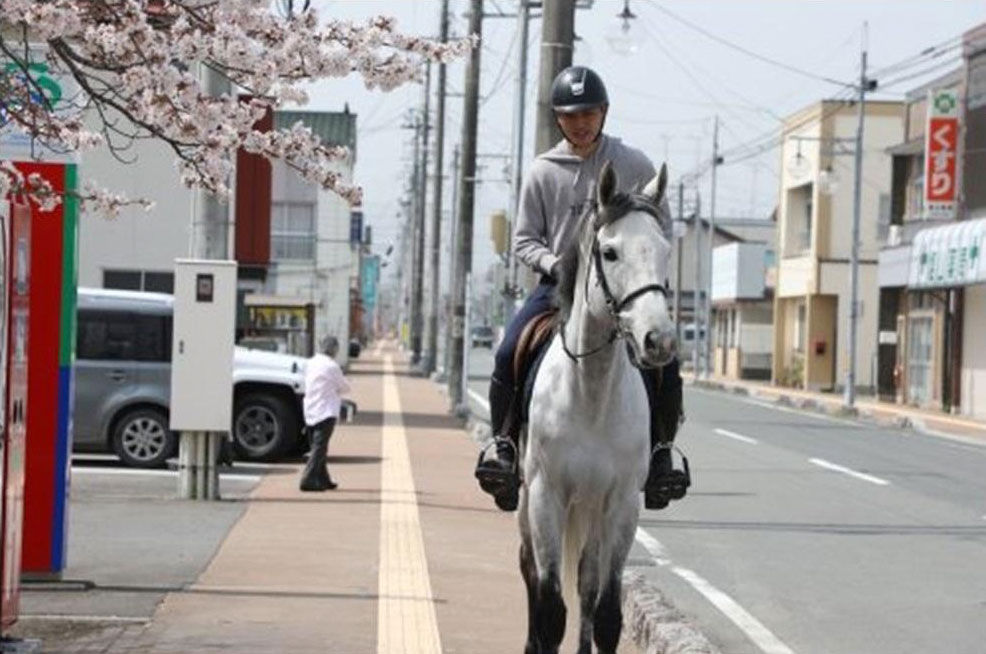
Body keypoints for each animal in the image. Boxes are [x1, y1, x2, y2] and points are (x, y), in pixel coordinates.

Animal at [516, 160, 676, 654]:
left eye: (666, 250)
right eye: (610, 252)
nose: (659, 341)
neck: (591, 390)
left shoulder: (621, 501)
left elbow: (605, 610)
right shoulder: (546, 494)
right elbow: (550, 608)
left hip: (589, 508)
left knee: (586, 581)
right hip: (530, 500)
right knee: (529, 572)